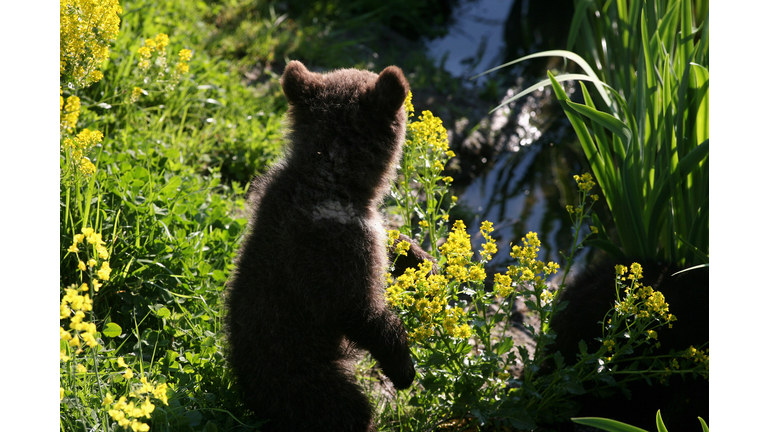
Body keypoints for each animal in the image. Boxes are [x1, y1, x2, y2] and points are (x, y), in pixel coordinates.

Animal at [225, 60, 419, 432]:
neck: (331, 183)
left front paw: (418, 257)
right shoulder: (334, 252)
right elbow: (360, 310)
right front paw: (404, 368)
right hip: (302, 376)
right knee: (346, 410)